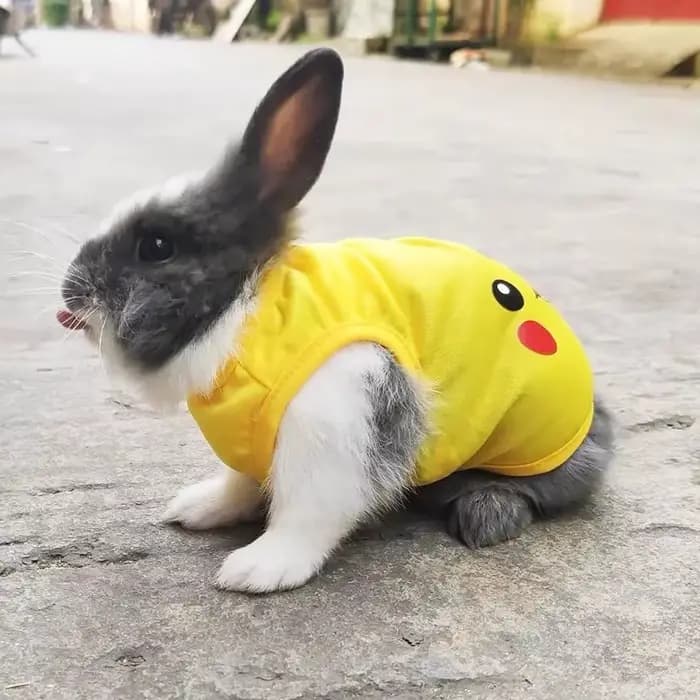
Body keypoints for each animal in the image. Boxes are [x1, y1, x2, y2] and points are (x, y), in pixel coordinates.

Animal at [58, 48, 614, 593]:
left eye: (156, 246)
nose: (69, 292)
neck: (246, 315)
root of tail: (598, 420)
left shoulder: (338, 423)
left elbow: (306, 513)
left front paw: (258, 569)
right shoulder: (250, 440)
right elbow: (238, 483)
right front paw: (197, 507)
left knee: (544, 490)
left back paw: (488, 511)